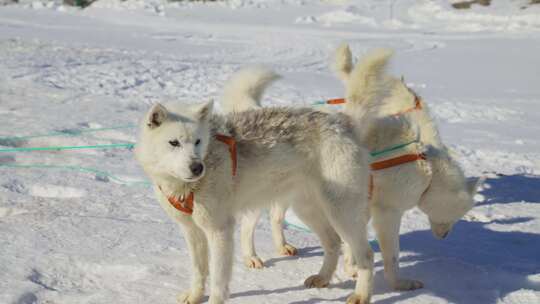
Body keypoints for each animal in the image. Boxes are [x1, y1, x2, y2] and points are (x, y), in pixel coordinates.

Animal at [135, 56, 388, 302]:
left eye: (197, 141)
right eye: (174, 143)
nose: (197, 167)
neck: (188, 186)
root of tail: (342, 122)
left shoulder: (220, 230)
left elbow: (218, 279)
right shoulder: (192, 231)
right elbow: (199, 271)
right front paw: (195, 296)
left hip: (341, 212)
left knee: (365, 254)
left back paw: (361, 295)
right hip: (307, 209)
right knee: (333, 242)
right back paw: (323, 278)